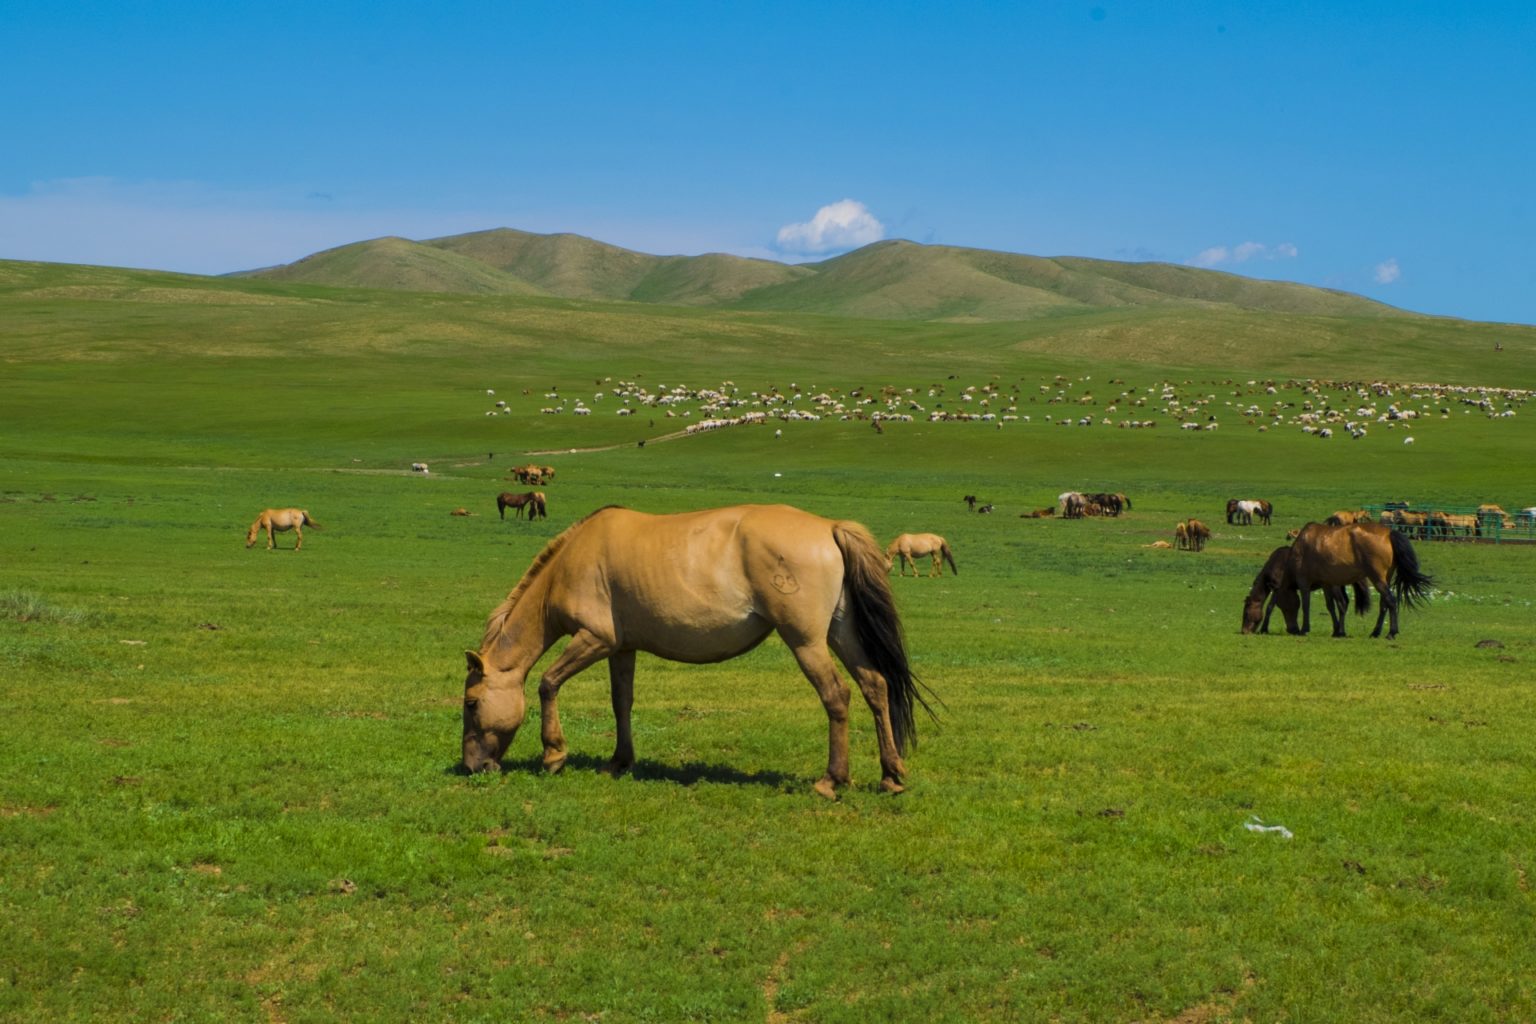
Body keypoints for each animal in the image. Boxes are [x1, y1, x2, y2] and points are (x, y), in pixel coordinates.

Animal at [460, 504, 936, 798]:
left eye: (471, 703)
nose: (471, 766)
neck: (571, 564)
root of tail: (829, 527)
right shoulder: (622, 649)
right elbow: (621, 702)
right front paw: (619, 761)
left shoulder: (594, 639)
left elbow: (547, 683)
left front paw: (554, 754)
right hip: (841, 633)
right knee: (875, 686)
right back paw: (891, 775)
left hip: (805, 642)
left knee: (836, 696)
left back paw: (831, 781)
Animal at [1272, 522, 1433, 638]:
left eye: (1282, 605)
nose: (1291, 629)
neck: (1301, 545)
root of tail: (1389, 533)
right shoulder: (1326, 584)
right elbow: (1331, 606)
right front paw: (1337, 630)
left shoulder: (1304, 581)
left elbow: (1306, 605)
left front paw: (1304, 629)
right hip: (1385, 578)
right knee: (1384, 604)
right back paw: (1375, 632)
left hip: (1377, 578)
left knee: (1391, 601)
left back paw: (1391, 632)